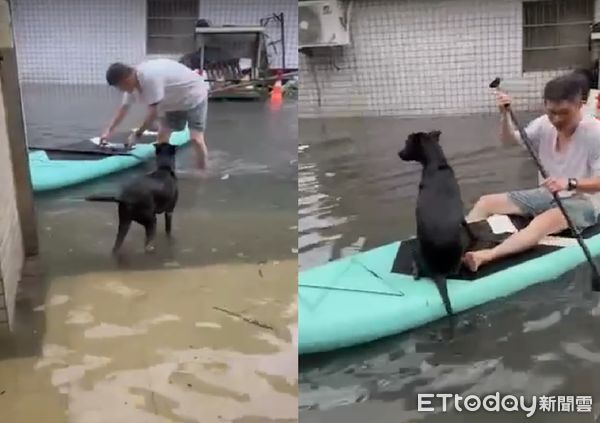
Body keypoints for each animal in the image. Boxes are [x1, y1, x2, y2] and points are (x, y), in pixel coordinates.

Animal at [396, 131, 476, 320]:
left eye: (407, 143)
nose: (399, 153)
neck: (436, 166)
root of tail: (438, 273)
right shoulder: (461, 213)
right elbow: (467, 224)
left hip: (416, 247)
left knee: (418, 268)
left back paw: (415, 270)